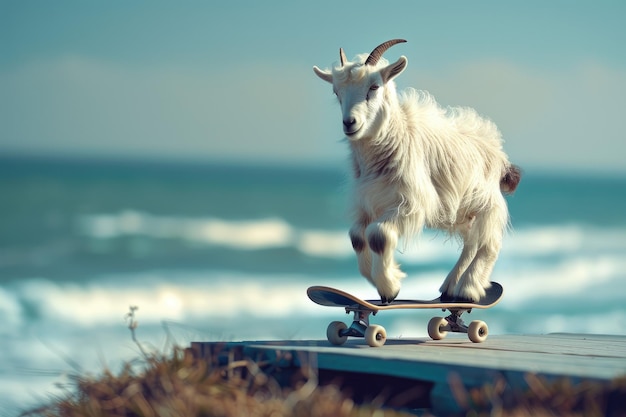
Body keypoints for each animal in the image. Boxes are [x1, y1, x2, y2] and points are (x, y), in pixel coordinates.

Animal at [314, 39, 520, 302]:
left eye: (374, 86)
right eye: (336, 92)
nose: (350, 123)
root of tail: (499, 153)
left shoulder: (412, 202)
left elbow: (377, 235)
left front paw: (390, 287)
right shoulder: (368, 202)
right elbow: (357, 237)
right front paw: (383, 282)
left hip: (487, 201)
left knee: (489, 243)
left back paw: (468, 289)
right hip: (463, 213)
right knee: (471, 242)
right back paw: (450, 287)